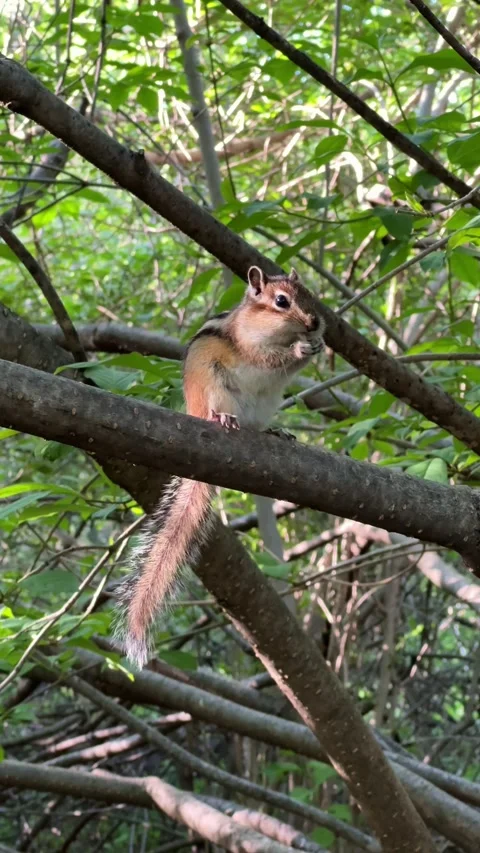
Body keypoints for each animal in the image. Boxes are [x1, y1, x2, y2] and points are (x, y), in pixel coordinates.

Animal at [119, 265, 325, 668]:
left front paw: (318, 345)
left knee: (257, 425)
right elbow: (269, 358)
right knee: (222, 410)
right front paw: (299, 349)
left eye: (311, 294)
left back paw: (275, 432)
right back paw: (223, 419)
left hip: (264, 405)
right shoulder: (250, 346)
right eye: (281, 301)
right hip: (215, 386)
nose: (314, 323)